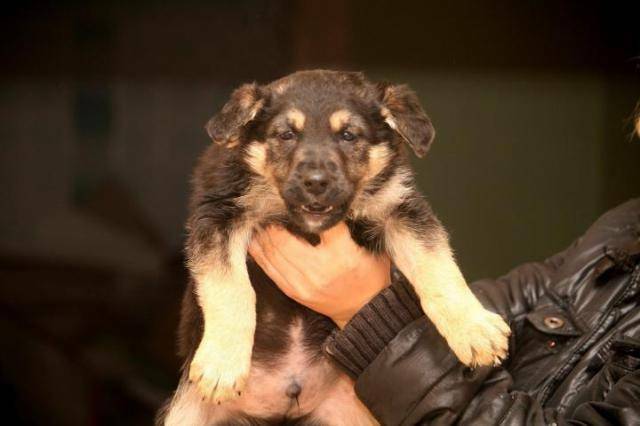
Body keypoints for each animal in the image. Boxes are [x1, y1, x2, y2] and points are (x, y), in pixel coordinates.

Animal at [159, 68, 510, 424]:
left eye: (349, 135)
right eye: (286, 134)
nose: (316, 183)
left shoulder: (400, 209)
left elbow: (437, 268)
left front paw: (474, 329)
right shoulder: (218, 217)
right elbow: (231, 290)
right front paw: (223, 365)